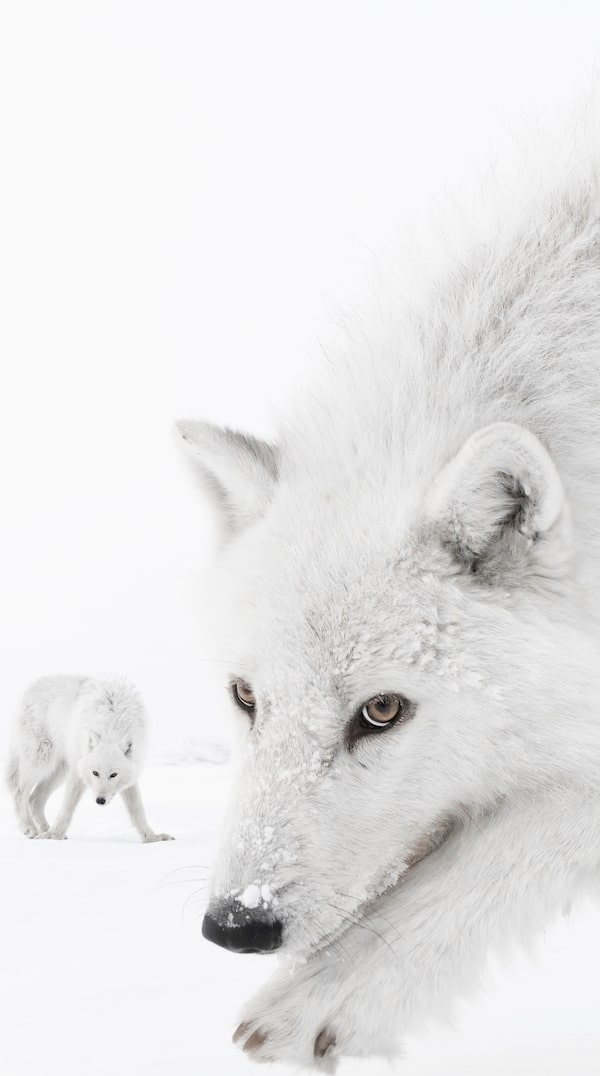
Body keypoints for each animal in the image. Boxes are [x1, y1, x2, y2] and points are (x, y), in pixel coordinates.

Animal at [7, 675, 174, 843]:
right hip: (41, 760)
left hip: (60, 772)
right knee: (20, 792)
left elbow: (138, 810)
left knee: (35, 799)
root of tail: (31, 686)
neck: (111, 724)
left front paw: (152, 838)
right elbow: (67, 807)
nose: (100, 800)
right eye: (95, 773)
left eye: (113, 775)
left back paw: (44, 830)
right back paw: (30, 829)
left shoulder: (130, 776)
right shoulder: (78, 771)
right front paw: (54, 835)